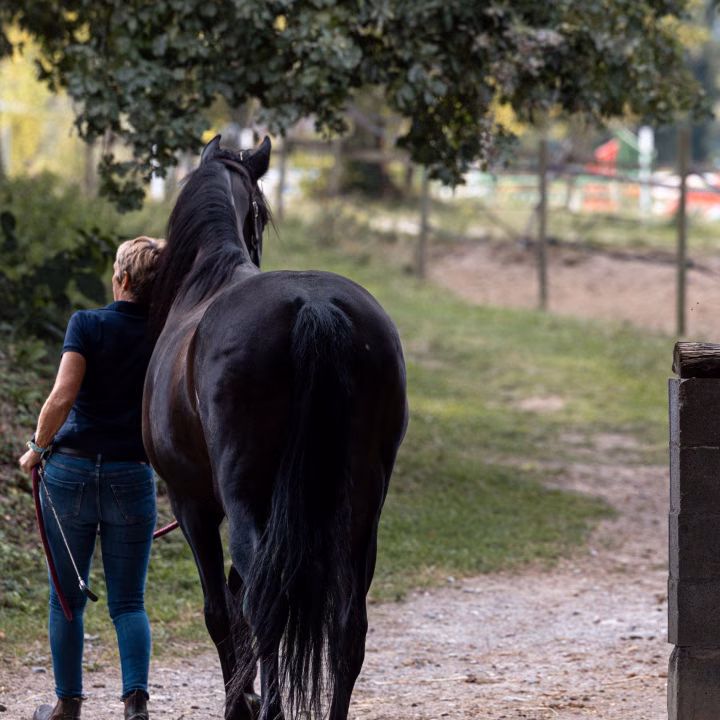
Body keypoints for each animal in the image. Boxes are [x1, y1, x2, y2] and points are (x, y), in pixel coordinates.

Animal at [142, 135, 409, 720]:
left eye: (259, 216)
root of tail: (316, 307)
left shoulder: (192, 503)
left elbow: (220, 609)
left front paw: (240, 702)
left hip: (244, 498)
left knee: (265, 604)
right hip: (362, 508)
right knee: (347, 622)